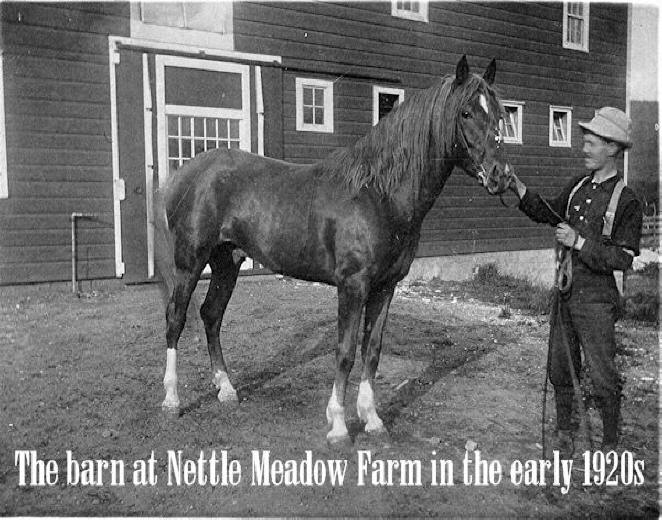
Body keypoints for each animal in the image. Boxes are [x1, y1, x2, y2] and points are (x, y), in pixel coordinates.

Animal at [154, 58, 512, 446]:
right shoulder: (352, 286)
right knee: (176, 319)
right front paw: (339, 425)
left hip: (227, 262)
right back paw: (172, 400)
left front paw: (372, 418)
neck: (378, 194)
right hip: (190, 262)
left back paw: (226, 389)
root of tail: (187, 173)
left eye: (499, 114)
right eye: (466, 112)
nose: (501, 175)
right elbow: (345, 353)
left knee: (211, 315)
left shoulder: (386, 287)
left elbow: (372, 351)